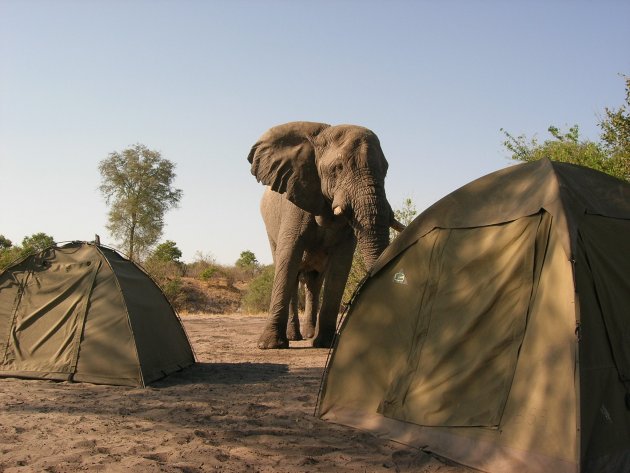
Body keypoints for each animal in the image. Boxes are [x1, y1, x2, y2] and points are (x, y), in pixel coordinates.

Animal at [248, 121, 404, 348]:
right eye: (337, 169)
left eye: (385, 171)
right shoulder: (295, 201)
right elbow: (289, 258)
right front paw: (269, 346)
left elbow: (340, 266)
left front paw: (325, 343)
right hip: (269, 227)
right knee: (289, 270)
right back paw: (293, 337)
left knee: (314, 282)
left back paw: (310, 335)